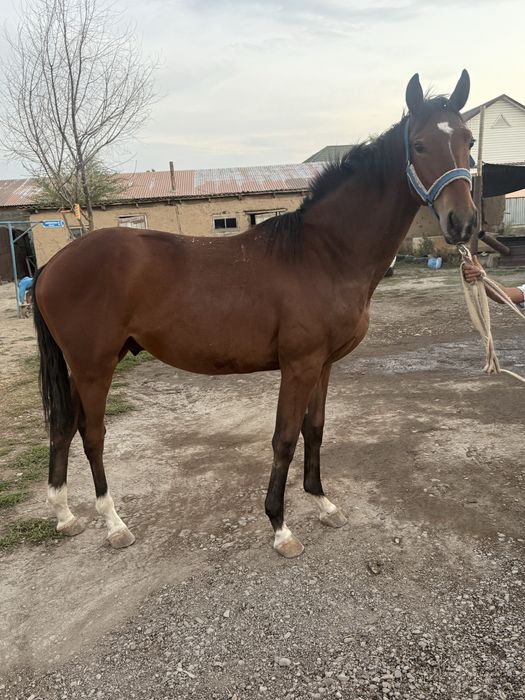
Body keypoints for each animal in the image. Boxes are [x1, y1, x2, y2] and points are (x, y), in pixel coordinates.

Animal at [33, 71, 477, 558]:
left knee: (62, 427)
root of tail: (51, 266)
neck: (324, 253)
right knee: (91, 434)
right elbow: (284, 438)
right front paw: (280, 527)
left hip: (86, 366)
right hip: (94, 366)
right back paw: (113, 524)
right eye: (419, 145)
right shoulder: (298, 365)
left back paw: (65, 516)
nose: (463, 223)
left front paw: (323, 503)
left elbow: (314, 429)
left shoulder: (322, 365)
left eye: (469, 140)